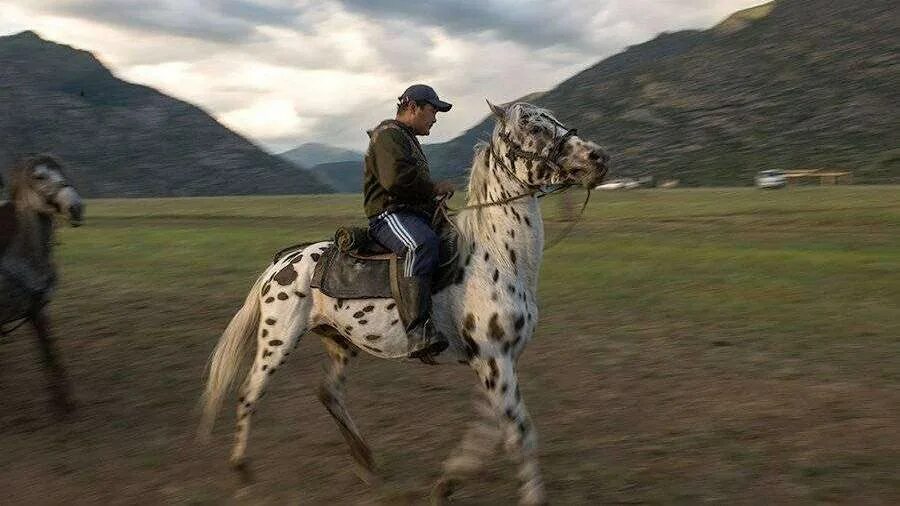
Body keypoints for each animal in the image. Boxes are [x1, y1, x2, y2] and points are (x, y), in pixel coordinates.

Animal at [0, 153, 84, 416]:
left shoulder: (37, 310)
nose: (76, 208)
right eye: (39, 176)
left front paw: (64, 403)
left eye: (62, 171)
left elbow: (50, 352)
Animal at [202, 101, 612, 504]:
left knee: (329, 393)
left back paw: (366, 463)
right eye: (534, 127)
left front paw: (447, 483)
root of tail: (282, 261)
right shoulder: (494, 359)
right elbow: (520, 434)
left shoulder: (497, 361)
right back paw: (242, 472)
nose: (599, 156)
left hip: (340, 342)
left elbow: (491, 429)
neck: (495, 256)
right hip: (278, 340)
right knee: (249, 393)